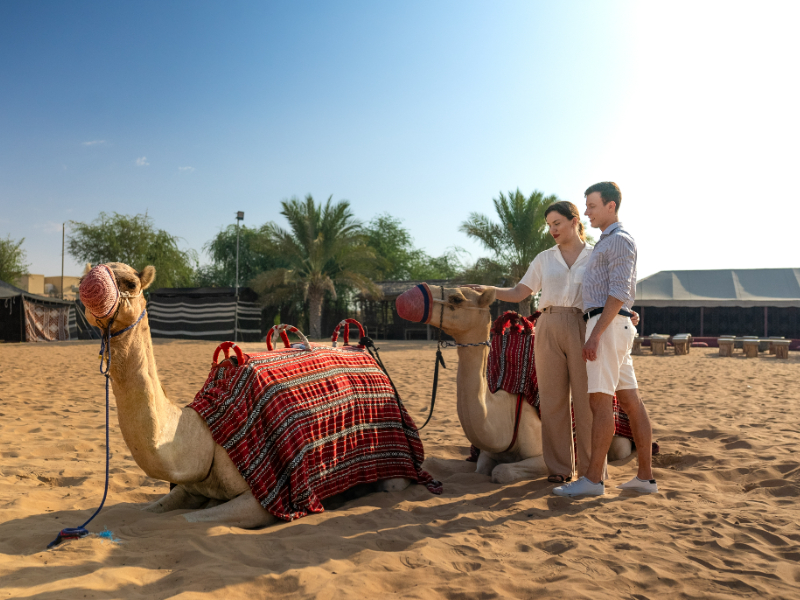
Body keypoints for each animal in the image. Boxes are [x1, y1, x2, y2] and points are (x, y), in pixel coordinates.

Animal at [77, 264, 434, 528]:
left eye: (130, 282)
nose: (89, 286)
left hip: (395, 463)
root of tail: (361, 348)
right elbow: (139, 514)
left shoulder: (264, 499)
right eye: (85, 276)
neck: (203, 438)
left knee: (394, 482)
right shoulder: (186, 487)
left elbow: (185, 522)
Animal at [396, 284, 632, 486]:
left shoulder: (540, 454)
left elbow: (501, 471)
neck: (505, 415)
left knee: (621, 448)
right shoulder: (488, 453)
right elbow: (483, 469)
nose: (406, 299)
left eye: (456, 298)